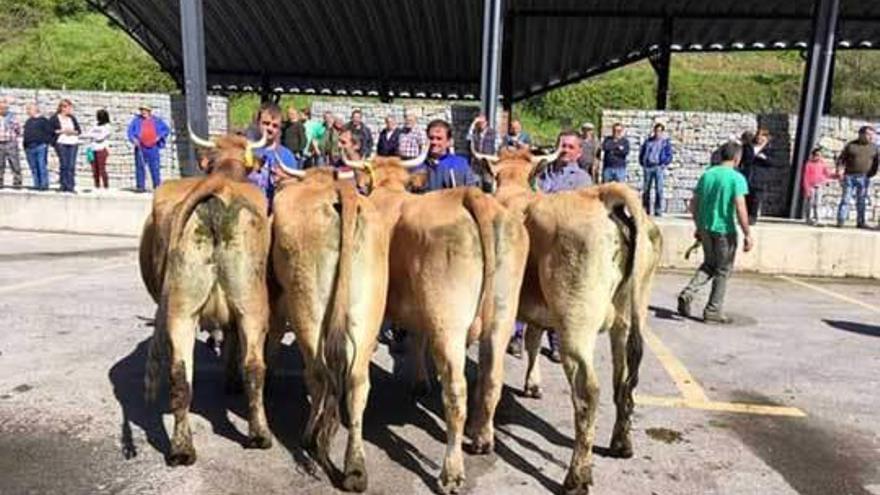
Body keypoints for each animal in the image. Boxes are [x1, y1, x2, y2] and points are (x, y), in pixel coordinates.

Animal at [140, 130, 276, 466]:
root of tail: (218, 187)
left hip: (185, 308)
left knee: (183, 373)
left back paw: (183, 448)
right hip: (246, 306)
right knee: (250, 367)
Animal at [270, 168, 390, 492]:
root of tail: (341, 193)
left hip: (307, 308)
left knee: (318, 375)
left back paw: (310, 437)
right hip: (367, 312)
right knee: (358, 383)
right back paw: (355, 469)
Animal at [340, 153, 524, 494]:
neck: (389, 191)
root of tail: (471, 195)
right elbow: (418, 338)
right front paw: (420, 381)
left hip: (449, 325)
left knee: (456, 392)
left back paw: (451, 473)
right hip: (502, 319)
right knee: (492, 378)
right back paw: (482, 439)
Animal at [474, 147, 660, 495]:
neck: (514, 189)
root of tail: (601, 194)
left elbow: (490, 371)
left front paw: (481, 436)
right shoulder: (536, 310)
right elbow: (532, 341)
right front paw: (532, 384)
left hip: (576, 324)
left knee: (588, 393)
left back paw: (577, 477)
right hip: (627, 318)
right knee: (623, 381)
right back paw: (621, 443)